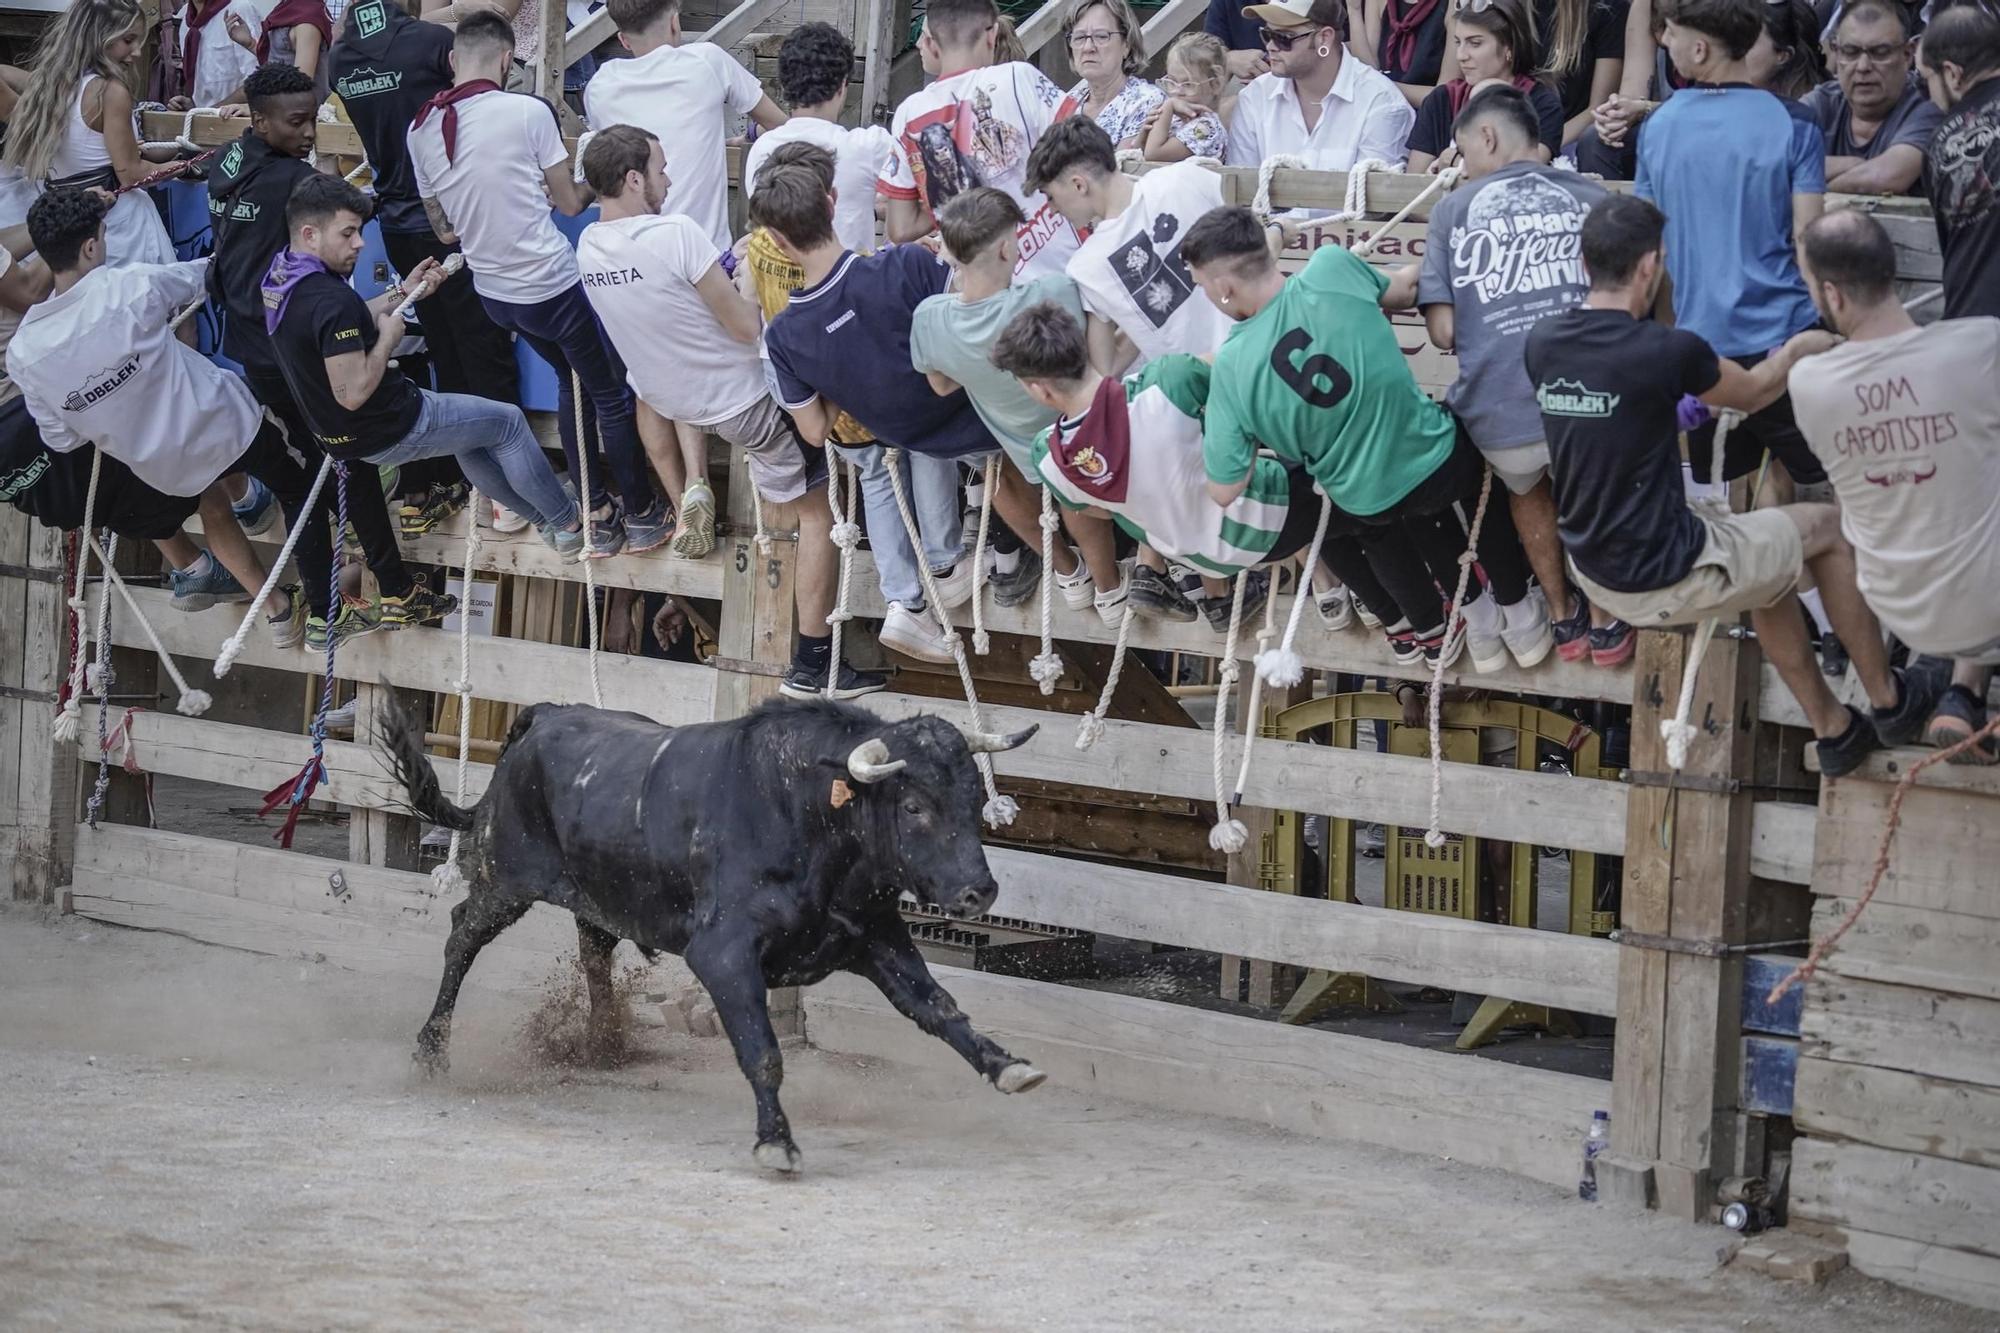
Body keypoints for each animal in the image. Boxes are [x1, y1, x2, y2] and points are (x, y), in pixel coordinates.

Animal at [382, 688, 1056, 1168]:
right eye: (914, 806)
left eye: (975, 801)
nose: (979, 891)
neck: (810, 816)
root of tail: (546, 716)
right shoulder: (722, 955)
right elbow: (763, 1051)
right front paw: (776, 1141)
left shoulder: (875, 936)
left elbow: (938, 1007)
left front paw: (1006, 1066)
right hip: (505, 879)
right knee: (461, 938)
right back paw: (431, 1051)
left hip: (596, 896)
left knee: (594, 951)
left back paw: (604, 1045)